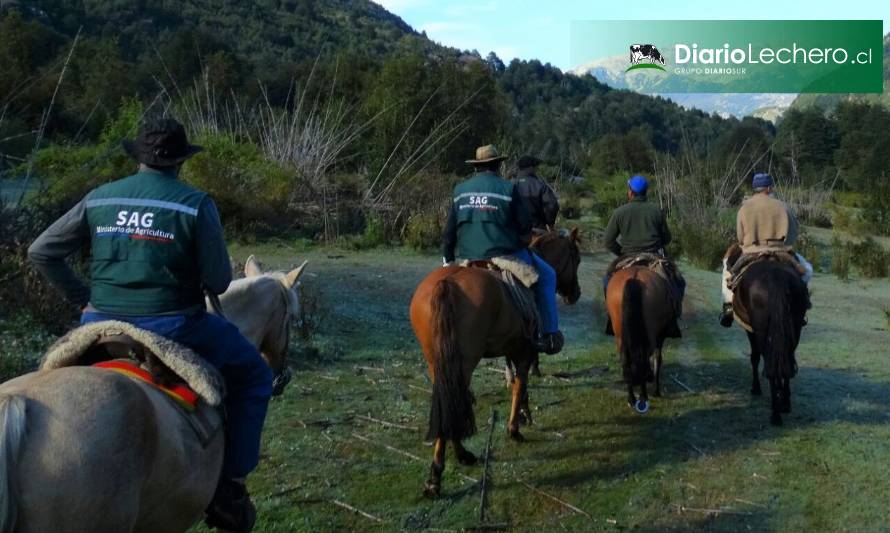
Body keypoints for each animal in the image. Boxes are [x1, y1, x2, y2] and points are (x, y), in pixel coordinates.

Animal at [412, 231, 584, 496]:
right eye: (576, 258)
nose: (575, 293)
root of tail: (448, 283)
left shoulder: (512, 347)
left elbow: (514, 380)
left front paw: (522, 414)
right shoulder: (524, 349)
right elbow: (519, 384)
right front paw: (516, 427)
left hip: (438, 362)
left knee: (449, 403)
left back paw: (459, 457)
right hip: (463, 363)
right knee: (456, 401)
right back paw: (438, 474)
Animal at [608, 266, 676, 412]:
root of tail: (635, 277)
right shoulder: (660, 336)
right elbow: (657, 358)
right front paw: (656, 390)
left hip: (620, 333)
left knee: (626, 360)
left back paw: (632, 399)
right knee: (643, 359)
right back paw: (644, 396)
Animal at [728, 254, 804, 424]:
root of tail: (777, 279)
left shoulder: (750, 330)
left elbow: (755, 358)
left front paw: (756, 388)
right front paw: (781, 395)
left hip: (761, 331)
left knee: (769, 363)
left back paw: (775, 414)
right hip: (794, 329)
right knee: (787, 361)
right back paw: (784, 404)